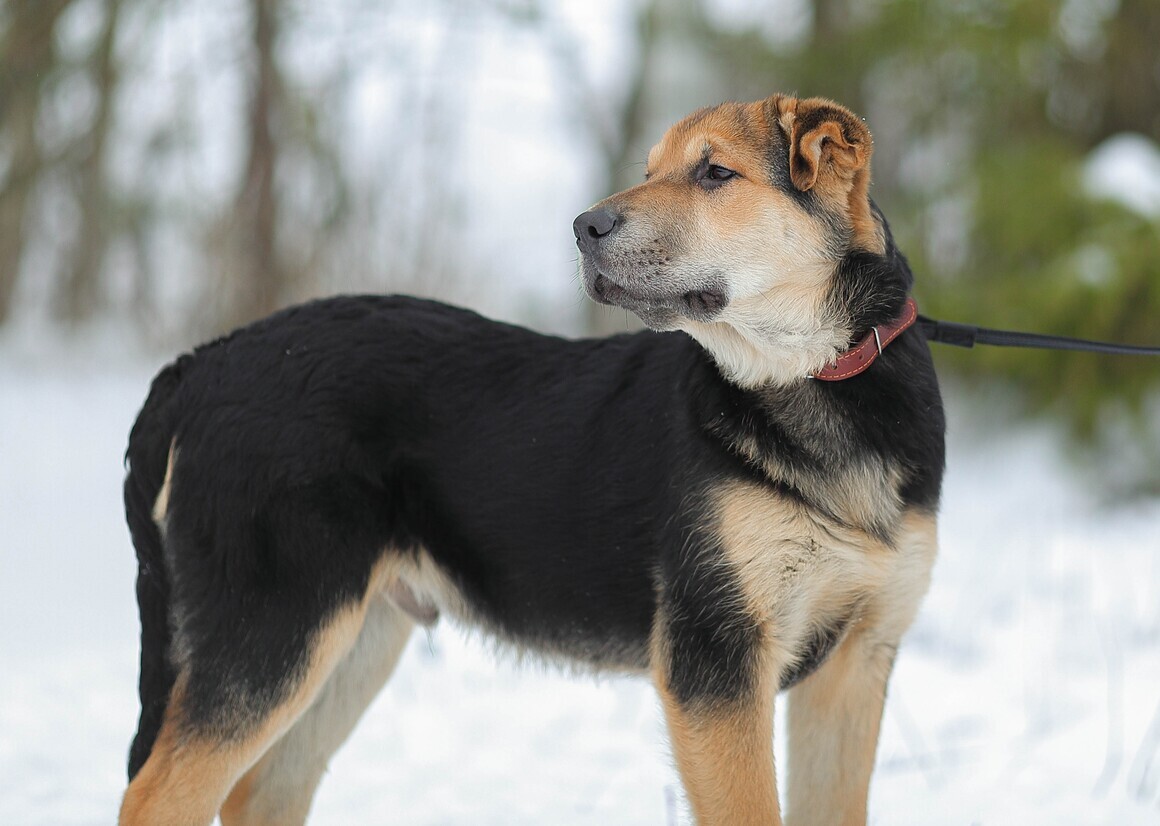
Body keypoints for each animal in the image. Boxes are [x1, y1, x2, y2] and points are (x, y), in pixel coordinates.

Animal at [122, 95, 946, 826]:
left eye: (715, 173)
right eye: (651, 170)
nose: (584, 227)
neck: (811, 377)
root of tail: (201, 363)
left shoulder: (855, 661)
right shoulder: (716, 663)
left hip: (351, 638)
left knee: (261, 794)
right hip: (272, 629)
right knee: (158, 797)